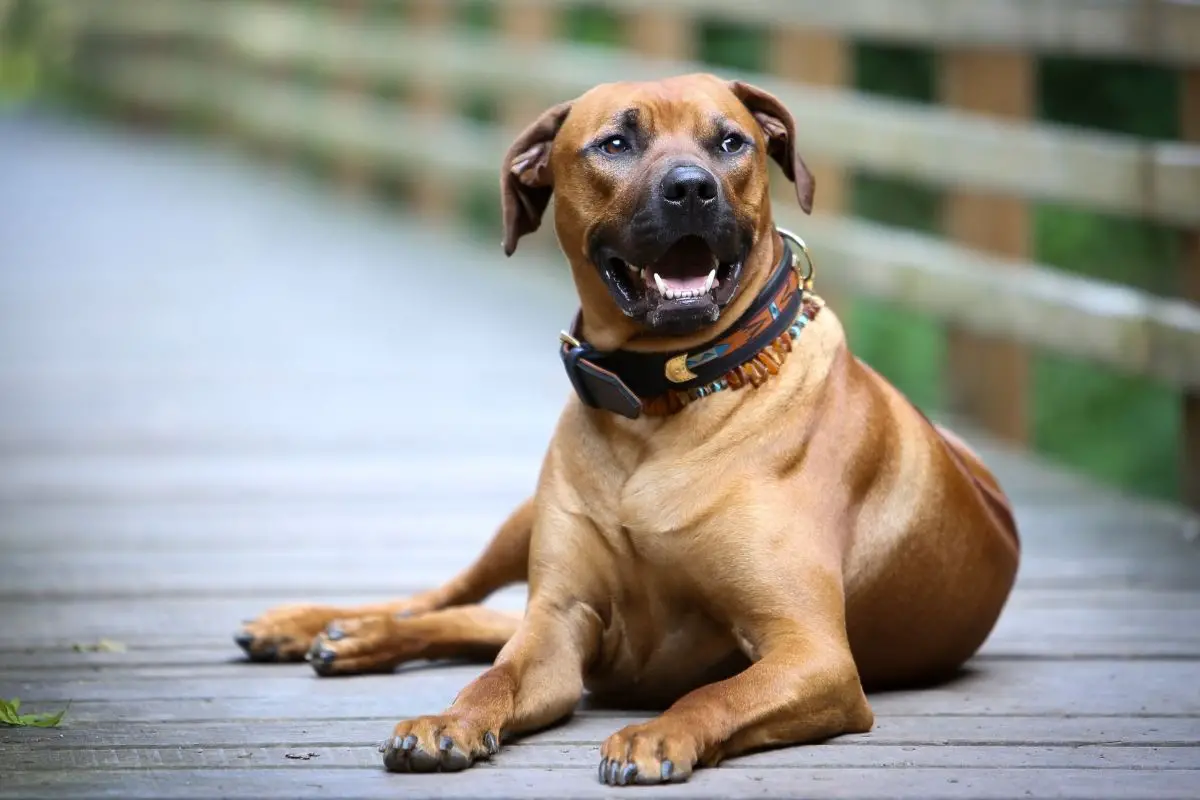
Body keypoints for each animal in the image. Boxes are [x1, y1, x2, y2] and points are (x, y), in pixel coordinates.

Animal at [236, 71, 1022, 786]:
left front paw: (658, 734)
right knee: (441, 602)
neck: (663, 399)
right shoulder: (557, 626)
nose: (692, 189)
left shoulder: (813, 654)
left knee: (474, 621)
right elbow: (495, 677)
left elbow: (717, 691)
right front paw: (448, 719)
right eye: (616, 143)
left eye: (731, 142)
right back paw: (321, 627)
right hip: (523, 527)